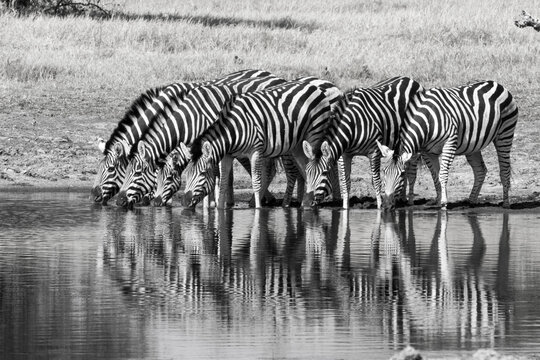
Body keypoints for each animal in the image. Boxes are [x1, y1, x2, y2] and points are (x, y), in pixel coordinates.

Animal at [181, 77, 342, 210]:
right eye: (186, 174)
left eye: (202, 173)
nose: (184, 202)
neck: (233, 129)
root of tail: (314, 87)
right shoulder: (228, 155)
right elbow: (223, 182)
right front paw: (220, 209)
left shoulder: (256, 150)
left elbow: (256, 182)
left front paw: (258, 210)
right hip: (297, 146)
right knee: (305, 169)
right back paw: (305, 203)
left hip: (315, 134)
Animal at [302, 77, 424, 210]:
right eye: (307, 171)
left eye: (324, 173)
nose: (306, 204)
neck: (353, 126)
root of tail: (410, 79)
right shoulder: (344, 155)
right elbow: (345, 182)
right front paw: (345, 208)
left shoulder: (374, 152)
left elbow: (376, 181)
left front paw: (380, 207)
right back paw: (401, 198)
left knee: (412, 172)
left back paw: (410, 201)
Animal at [378, 79, 516, 208]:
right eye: (383, 172)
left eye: (402, 174)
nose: (386, 205)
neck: (427, 120)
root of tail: (496, 84)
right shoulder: (427, 152)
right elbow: (435, 176)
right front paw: (439, 201)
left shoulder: (450, 143)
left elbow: (443, 174)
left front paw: (444, 202)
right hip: (473, 145)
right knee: (480, 170)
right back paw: (471, 201)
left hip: (505, 133)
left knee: (504, 169)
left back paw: (506, 203)